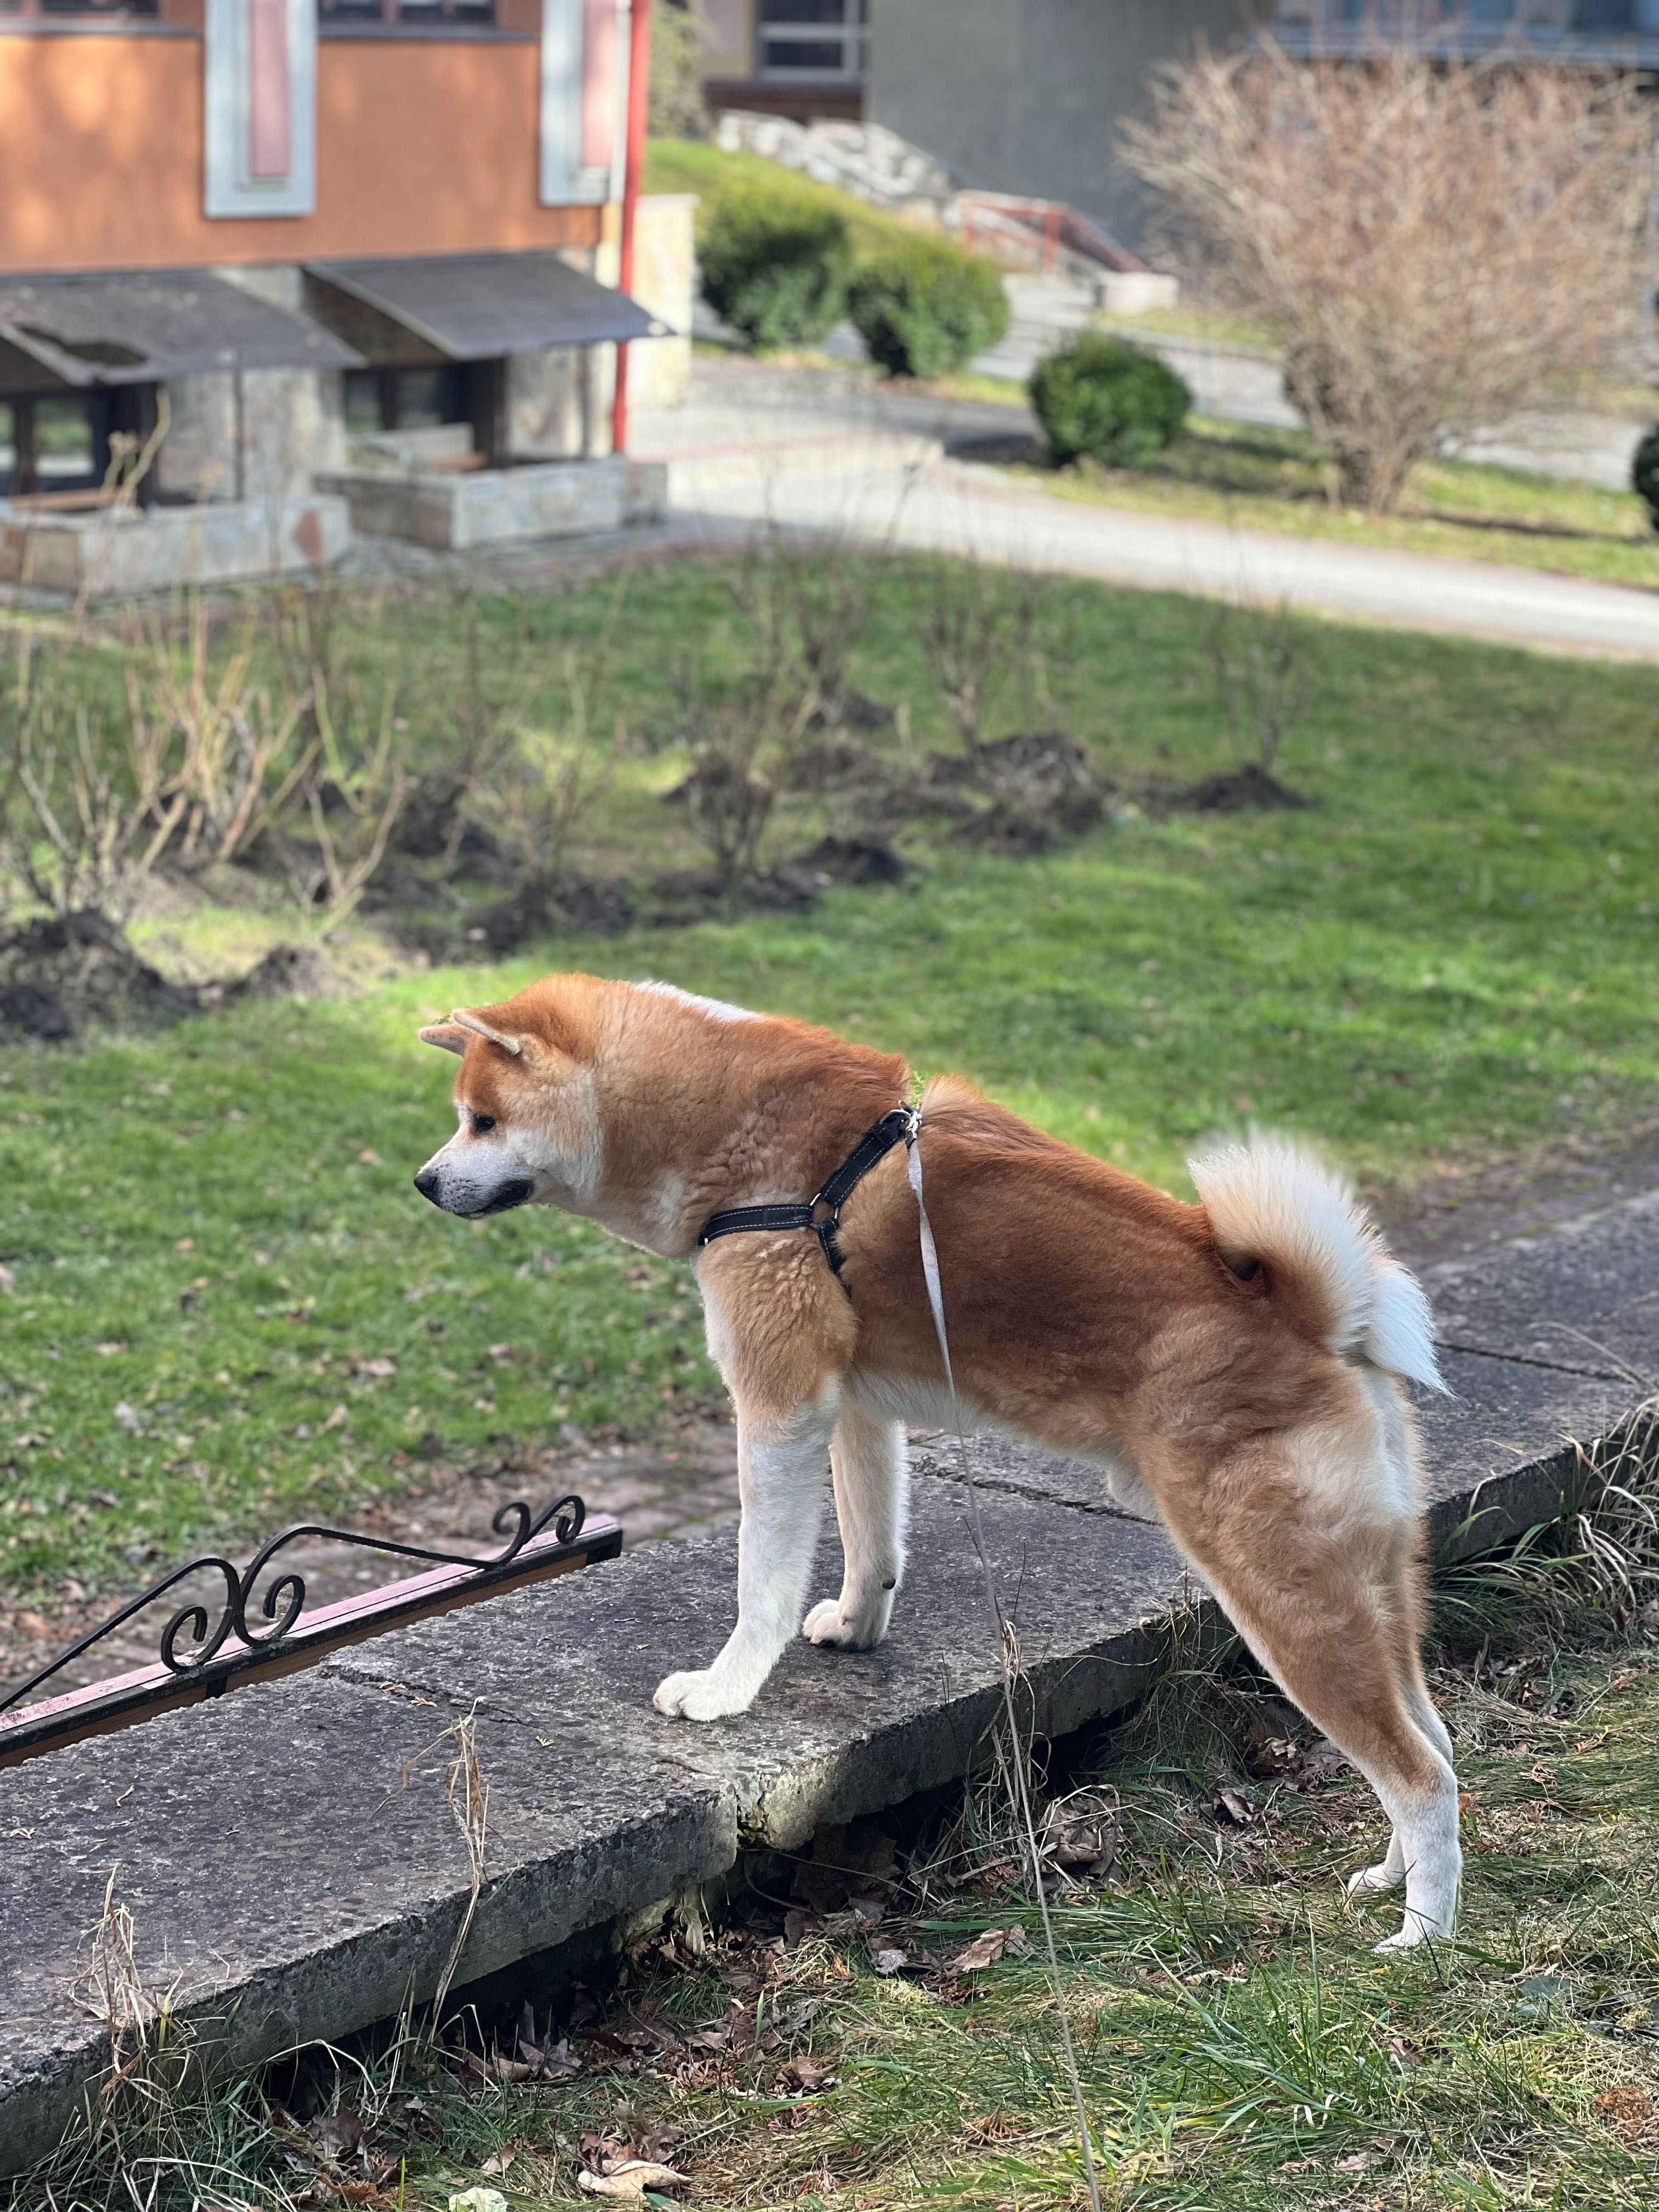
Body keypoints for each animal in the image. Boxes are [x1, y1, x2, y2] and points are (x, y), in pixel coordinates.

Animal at [418, 978, 1469, 1946]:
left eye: (483, 1119)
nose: (424, 1183)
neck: (732, 1123)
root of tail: (1318, 1319)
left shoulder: (777, 1406)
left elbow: (761, 1579)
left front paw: (724, 1691)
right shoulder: (853, 1407)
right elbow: (872, 1542)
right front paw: (855, 1627)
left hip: (1283, 1596)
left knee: (1416, 1775)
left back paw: (1423, 1934)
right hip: (1370, 1593)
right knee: (1436, 1745)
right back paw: (1389, 1878)